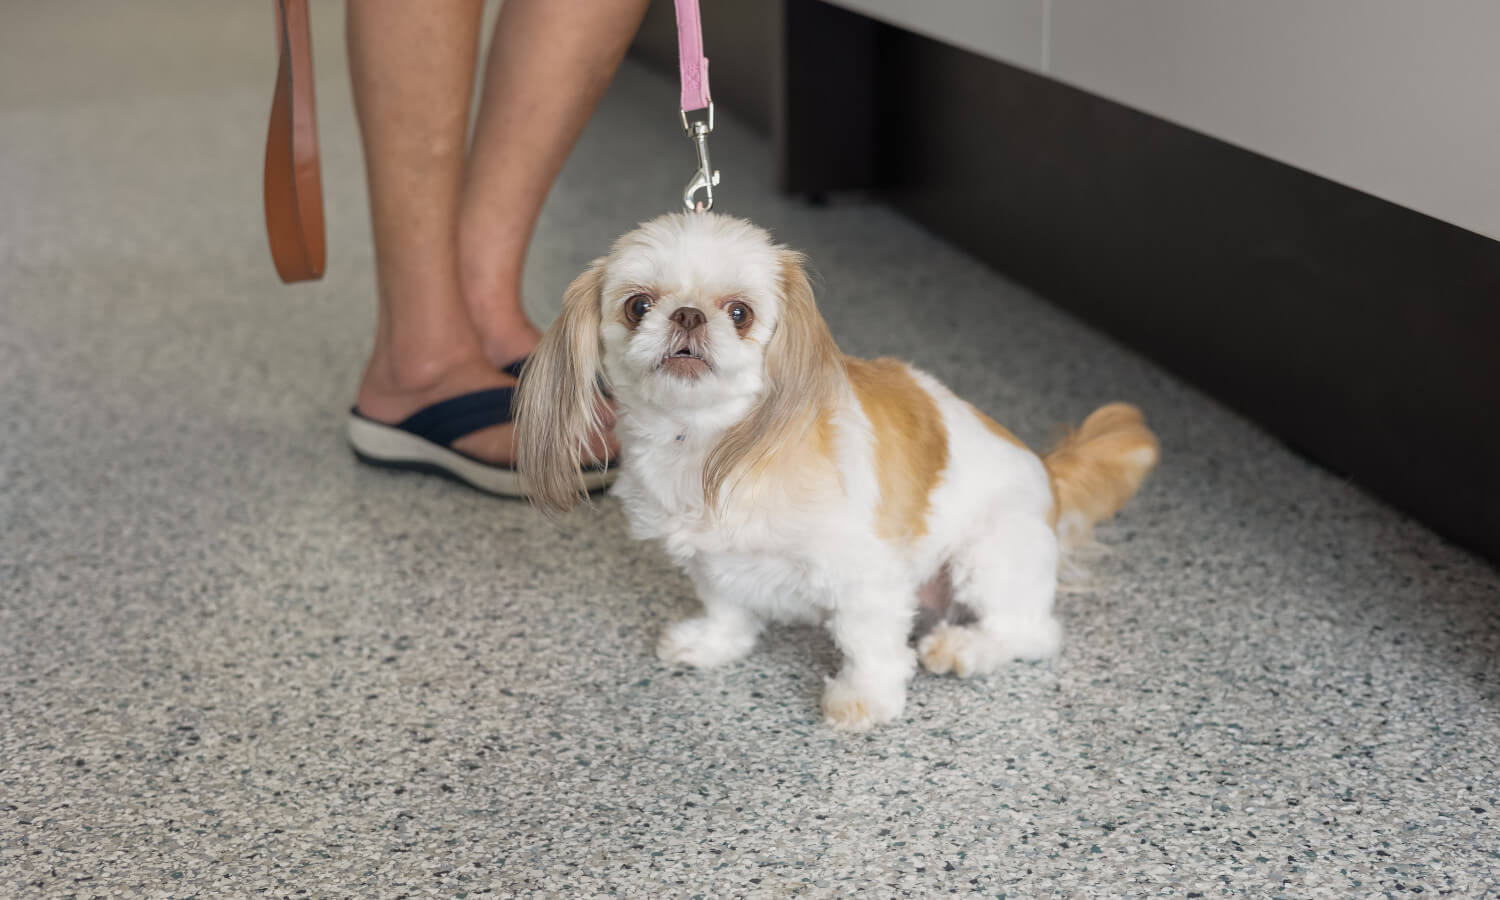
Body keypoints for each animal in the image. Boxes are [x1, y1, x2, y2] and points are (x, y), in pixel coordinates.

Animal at [516, 213, 1158, 732]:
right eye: (638, 305)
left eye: (740, 313)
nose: (689, 315)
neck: (707, 444)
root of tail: (1047, 474)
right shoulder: (711, 559)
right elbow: (726, 606)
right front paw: (714, 643)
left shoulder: (865, 573)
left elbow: (867, 642)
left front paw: (864, 699)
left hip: (989, 553)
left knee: (1031, 631)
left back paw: (964, 648)